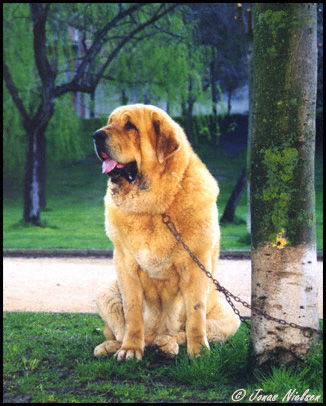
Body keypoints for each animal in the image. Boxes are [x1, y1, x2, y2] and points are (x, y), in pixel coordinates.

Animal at [93, 104, 241, 362]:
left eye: (130, 126)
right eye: (110, 122)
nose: (96, 135)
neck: (155, 208)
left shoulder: (196, 266)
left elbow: (195, 316)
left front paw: (198, 352)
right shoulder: (125, 264)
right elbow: (132, 313)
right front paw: (130, 349)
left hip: (230, 317)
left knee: (182, 332)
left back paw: (167, 345)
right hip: (105, 288)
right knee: (121, 330)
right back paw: (113, 346)